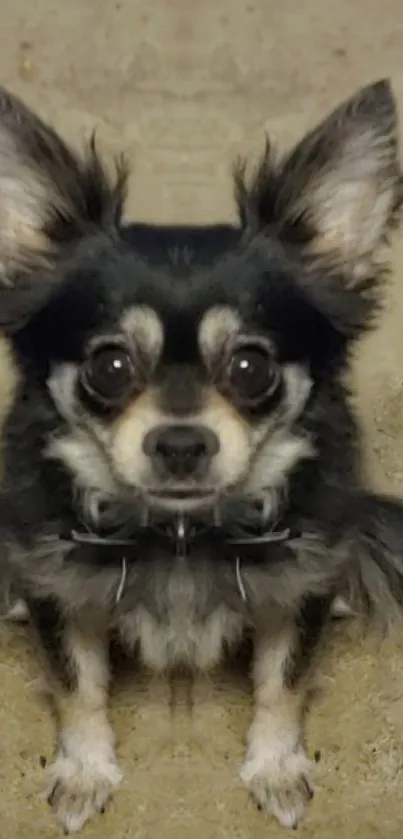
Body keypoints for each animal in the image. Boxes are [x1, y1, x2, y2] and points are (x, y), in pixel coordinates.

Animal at [0, 77, 403, 832]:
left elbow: (282, 682)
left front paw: (274, 767)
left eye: (250, 367)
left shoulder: (298, 588)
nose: (181, 442)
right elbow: (77, 684)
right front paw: (85, 771)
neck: (180, 534)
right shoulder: (59, 590)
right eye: (110, 367)